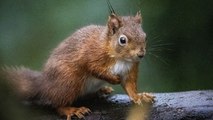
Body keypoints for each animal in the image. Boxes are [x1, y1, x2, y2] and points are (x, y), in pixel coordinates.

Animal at [2, 6, 155, 120]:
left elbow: (130, 86)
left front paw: (139, 96)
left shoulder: (130, 69)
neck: (121, 58)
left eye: (145, 37)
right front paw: (113, 79)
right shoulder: (90, 55)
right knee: (56, 104)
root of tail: (43, 84)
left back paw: (101, 91)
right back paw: (71, 110)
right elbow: (93, 68)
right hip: (69, 81)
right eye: (122, 40)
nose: (141, 54)